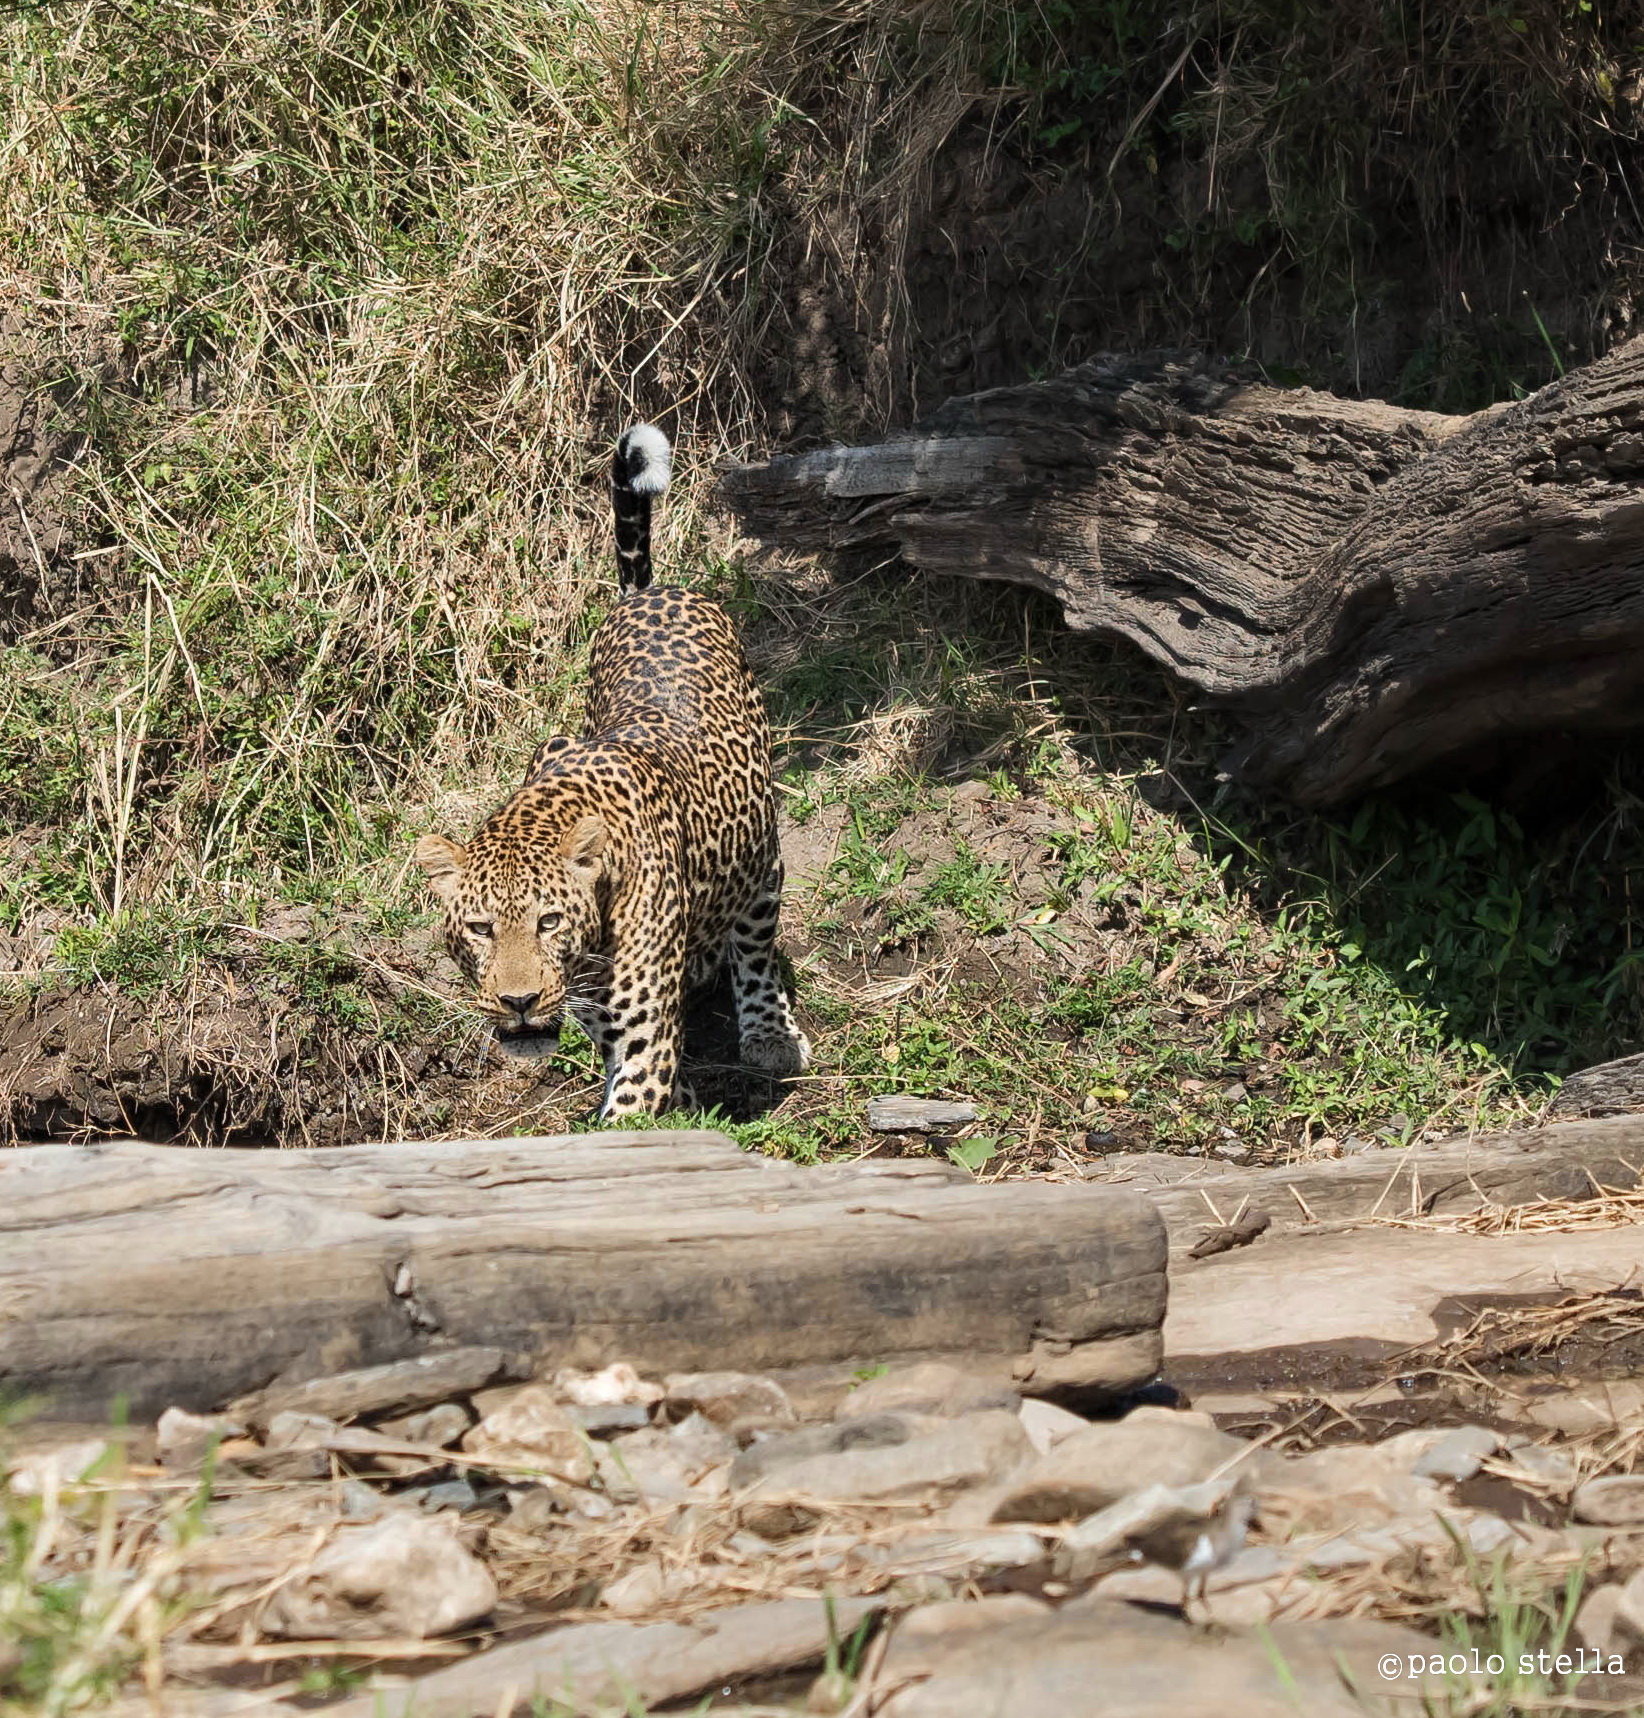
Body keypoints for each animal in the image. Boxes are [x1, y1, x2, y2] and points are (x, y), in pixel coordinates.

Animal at [414, 423, 811, 1120]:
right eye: (480, 929)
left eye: (549, 921)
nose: (518, 1003)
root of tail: (649, 592)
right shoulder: (611, 1030)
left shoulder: (643, 1040)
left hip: (762, 856)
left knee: (756, 944)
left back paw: (770, 1032)